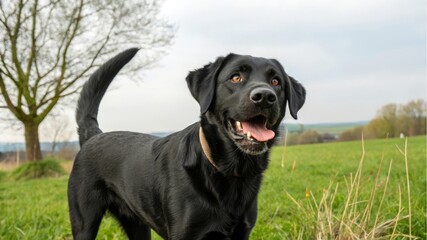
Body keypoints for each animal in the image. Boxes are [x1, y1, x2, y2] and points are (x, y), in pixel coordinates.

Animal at [68, 47, 306, 239]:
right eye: (235, 77)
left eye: (276, 82)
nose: (265, 96)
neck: (227, 171)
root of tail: (93, 135)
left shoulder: (242, 233)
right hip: (84, 223)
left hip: (138, 225)